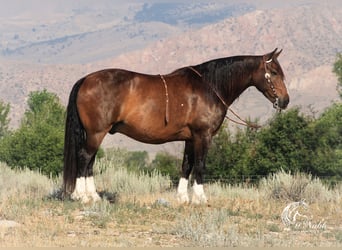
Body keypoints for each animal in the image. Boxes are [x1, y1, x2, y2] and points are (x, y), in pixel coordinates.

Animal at [63, 48, 288, 203]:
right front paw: (200, 198)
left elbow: (186, 165)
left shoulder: (190, 138)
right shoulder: (203, 135)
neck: (209, 87)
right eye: (274, 72)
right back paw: (81, 196)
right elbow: (200, 165)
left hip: (95, 134)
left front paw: (183, 197)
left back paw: (94, 196)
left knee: (90, 162)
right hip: (96, 133)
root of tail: (86, 79)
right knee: (84, 158)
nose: (285, 101)